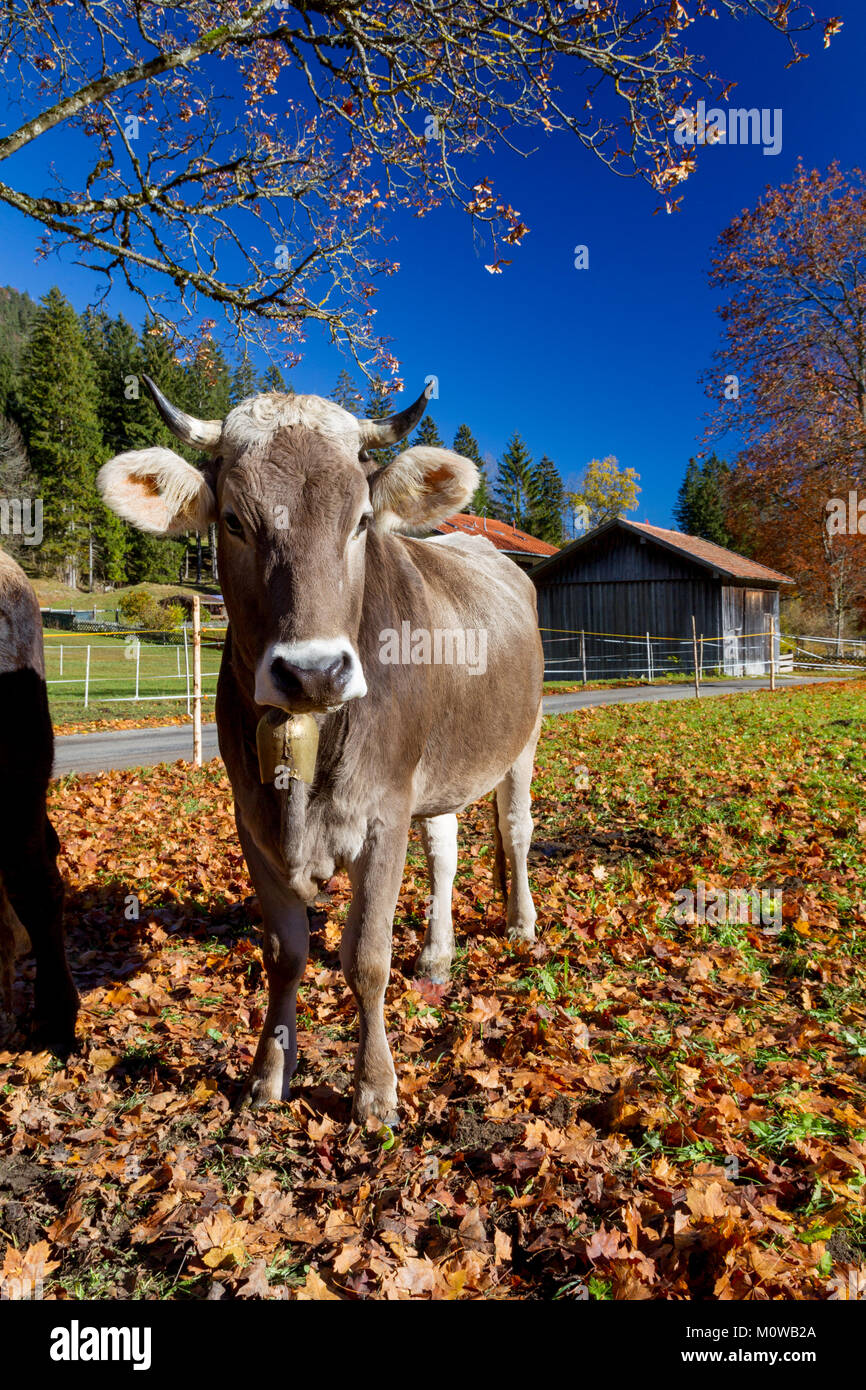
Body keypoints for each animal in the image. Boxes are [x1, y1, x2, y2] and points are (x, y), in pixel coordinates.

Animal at [100, 386, 542, 1123]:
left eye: (361, 520)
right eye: (233, 520)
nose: (313, 672)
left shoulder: (385, 811)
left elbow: (365, 957)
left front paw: (375, 1090)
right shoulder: (251, 818)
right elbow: (285, 953)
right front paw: (269, 1073)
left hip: (522, 742)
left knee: (515, 829)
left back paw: (521, 924)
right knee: (445, 850)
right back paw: (438, 955)